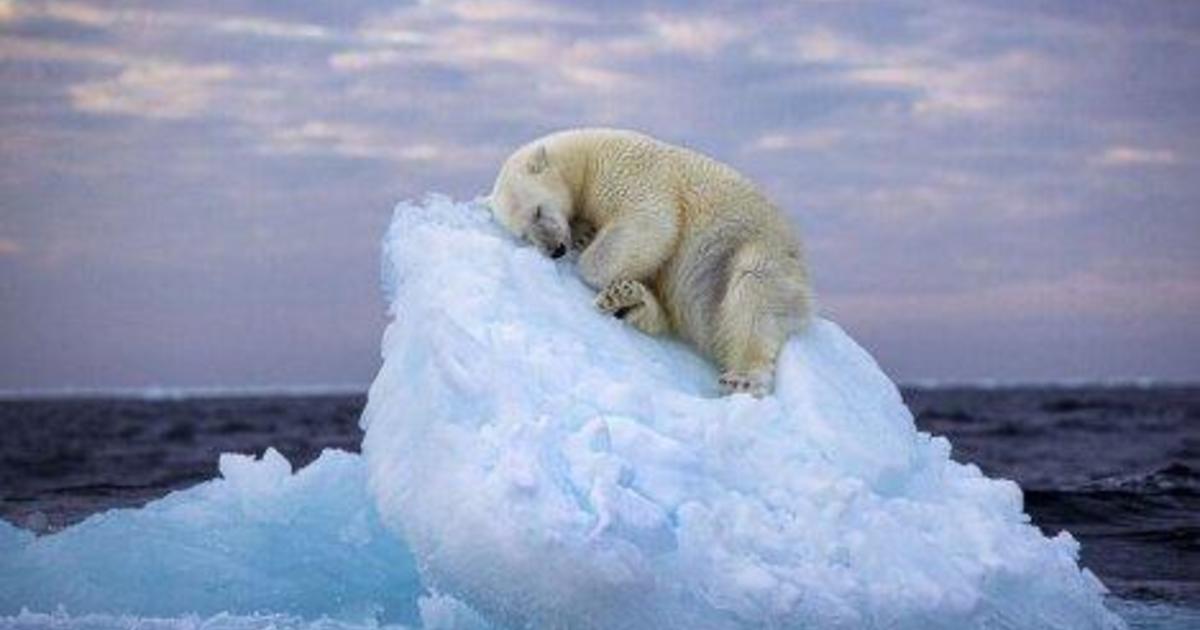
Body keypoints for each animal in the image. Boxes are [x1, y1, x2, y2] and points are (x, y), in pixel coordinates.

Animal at [488, 128, 813, 396]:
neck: (584, 156)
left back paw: (743, 378)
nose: (555, 249)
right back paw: (626, 300)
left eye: (538, 211)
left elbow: (651, 222)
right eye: (524, 234)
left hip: (760, 250)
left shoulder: (626, 172)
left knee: (753, 292)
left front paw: (589, 257)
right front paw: (584, 235)